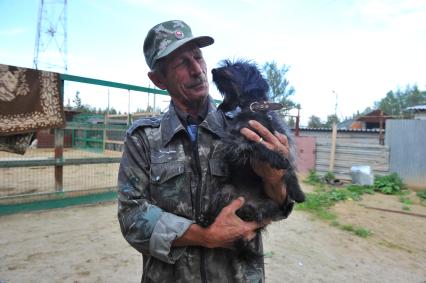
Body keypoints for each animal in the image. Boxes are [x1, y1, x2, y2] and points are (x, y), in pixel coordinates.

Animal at [206, 60, 302, 260]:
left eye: (236, 67)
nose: (214, 70)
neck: (253, 109)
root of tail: (249, 204)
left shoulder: (280, 139)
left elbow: (289, 170)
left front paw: (298, 192)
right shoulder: (235, 142)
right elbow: (256, 145)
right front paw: (277, 159)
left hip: (270, 205)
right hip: (226, 190)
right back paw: (208, 220)